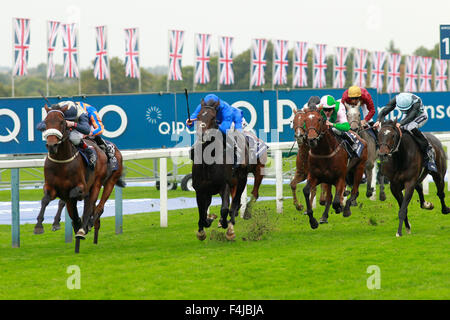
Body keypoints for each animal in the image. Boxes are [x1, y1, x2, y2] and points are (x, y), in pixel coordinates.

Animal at [40, 105, 124, 252]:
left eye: (62, 122)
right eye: (46, 122)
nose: (52, 145)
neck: (62, 162)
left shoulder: (80, 187)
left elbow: (78, 201)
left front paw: (79, 225)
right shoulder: (52, 187)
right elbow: (47, 200)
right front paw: (42, 225)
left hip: (106, 182)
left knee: (97, 206)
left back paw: (87, 225)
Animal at [191, 99, 266, 241]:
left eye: (213, 117)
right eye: (198, 117)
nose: (202, 135)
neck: (208, 163)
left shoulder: (224, 184)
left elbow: (225, 209)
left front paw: (225, 224)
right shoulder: (200, 189)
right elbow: (202, 212)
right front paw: (203, 228)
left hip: (245, 177)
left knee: (238, 201)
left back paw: (232, 225)